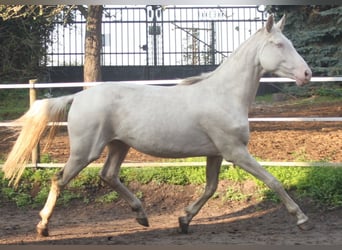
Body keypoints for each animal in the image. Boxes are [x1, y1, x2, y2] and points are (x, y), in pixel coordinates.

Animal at [2, 15, 312, 236]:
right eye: (279, 45)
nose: (307, 74)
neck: (224, 94)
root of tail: (77, 96)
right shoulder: (235, 151)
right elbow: (272, 180)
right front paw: (301, 218)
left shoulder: (216, 153)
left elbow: (210, 188)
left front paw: (184, 220)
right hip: (85, 151)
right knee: (60, 179)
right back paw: (43, 226)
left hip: (119, 145)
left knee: (108, 175)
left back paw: (142, 216)